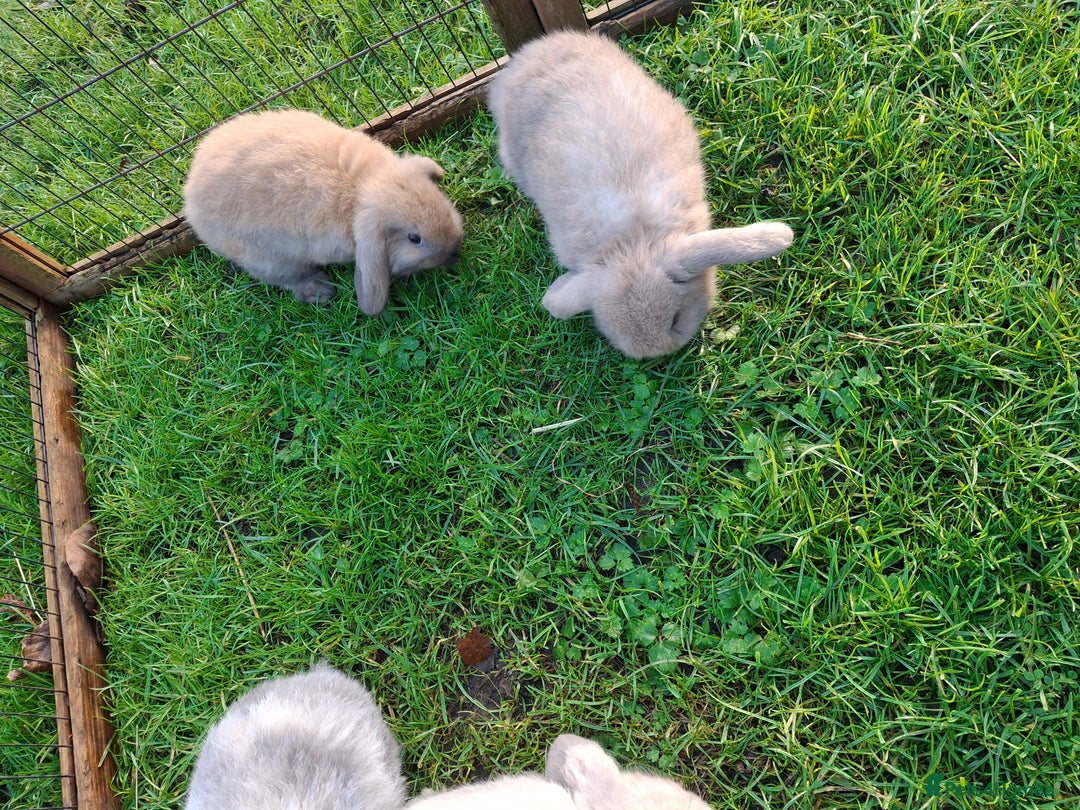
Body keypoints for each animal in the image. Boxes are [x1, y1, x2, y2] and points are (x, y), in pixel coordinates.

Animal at [183, 108, 463, 314]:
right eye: (414, 239)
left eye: (439, 198)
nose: (454, 254)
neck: (363, 186)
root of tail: (190, 197)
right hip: (268, 259)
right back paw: (320, 290)